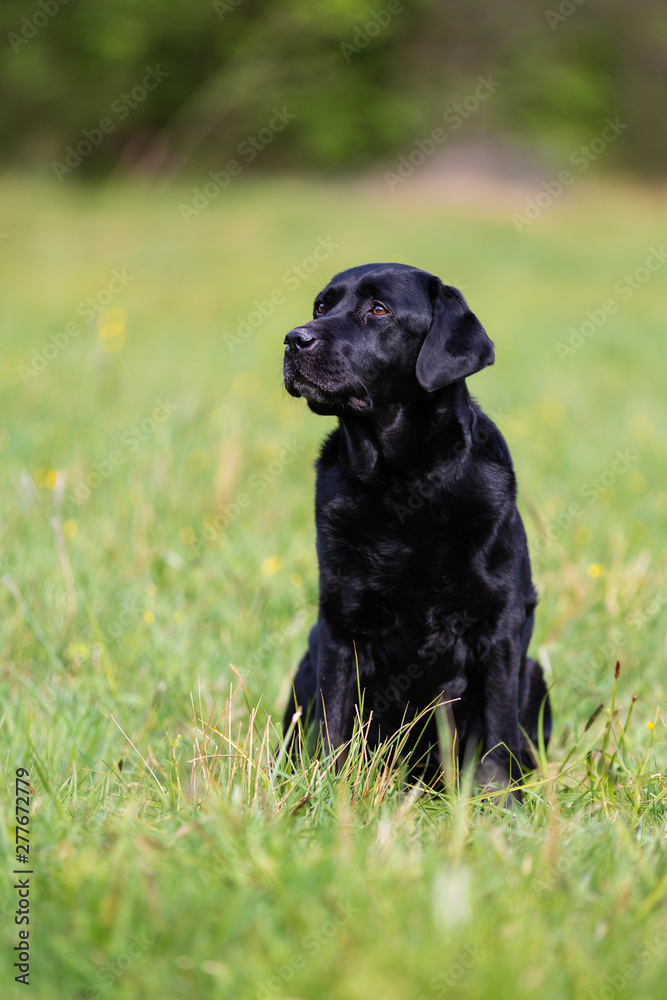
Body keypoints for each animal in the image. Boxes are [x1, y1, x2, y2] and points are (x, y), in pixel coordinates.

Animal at [280, 262, 548, 792]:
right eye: (321, 306)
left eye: (378, 309)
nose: (294, 339)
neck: (402, 486)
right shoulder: (339, 627)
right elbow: (333, 723)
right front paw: (325, 793)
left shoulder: (500, 624)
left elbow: (497, 731)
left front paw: (498, 802)